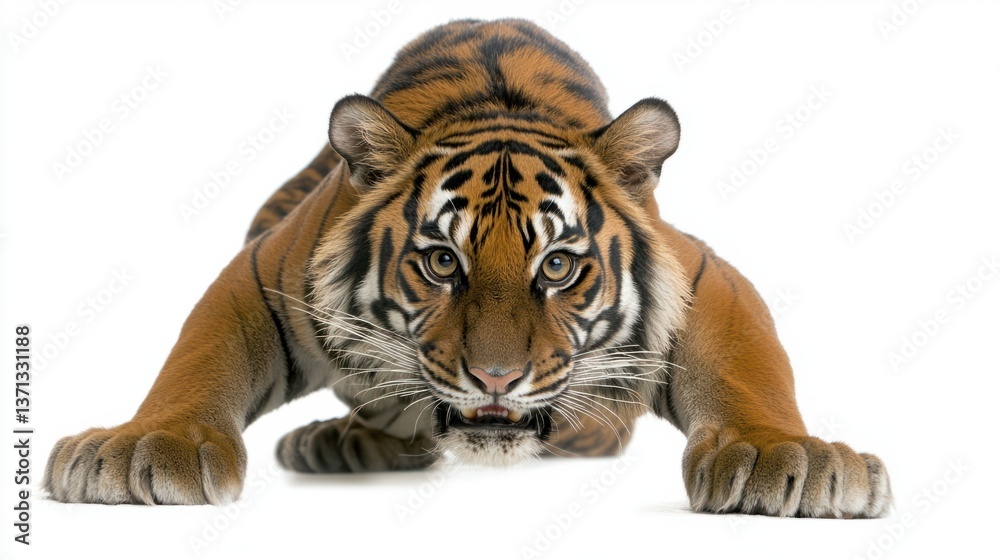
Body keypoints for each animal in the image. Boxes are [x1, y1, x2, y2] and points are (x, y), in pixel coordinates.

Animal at [44, 18, 891, 517]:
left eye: (558, 266)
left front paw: (783, 454)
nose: (495, 380)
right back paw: (340, 442)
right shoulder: (266, 267)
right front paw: (142, 446)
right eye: (442, 262)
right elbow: (198, 356)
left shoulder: (702, 274)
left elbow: (748, 367)